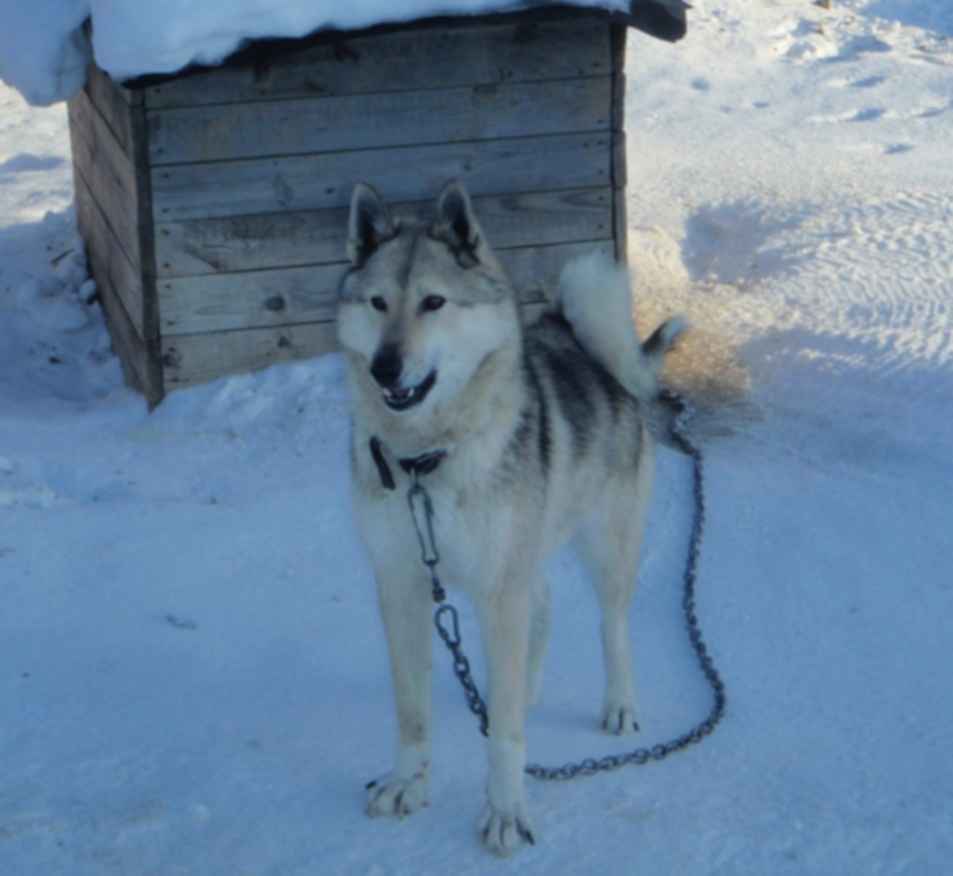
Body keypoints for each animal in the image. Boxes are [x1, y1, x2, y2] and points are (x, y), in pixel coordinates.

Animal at [338, 180, 680, 856]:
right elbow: (411, 711)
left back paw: (617, 704)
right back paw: (519, 690)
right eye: (378, 302)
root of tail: (599, 355)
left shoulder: (498, 590)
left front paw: (505, 812)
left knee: (612, 626)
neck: (426, 461)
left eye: (434, 303)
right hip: (525, 554)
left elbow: (505, 742)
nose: (385, 367)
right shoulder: (402, 585)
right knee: (542, 608)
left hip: (604, 547)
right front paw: (407, 783)